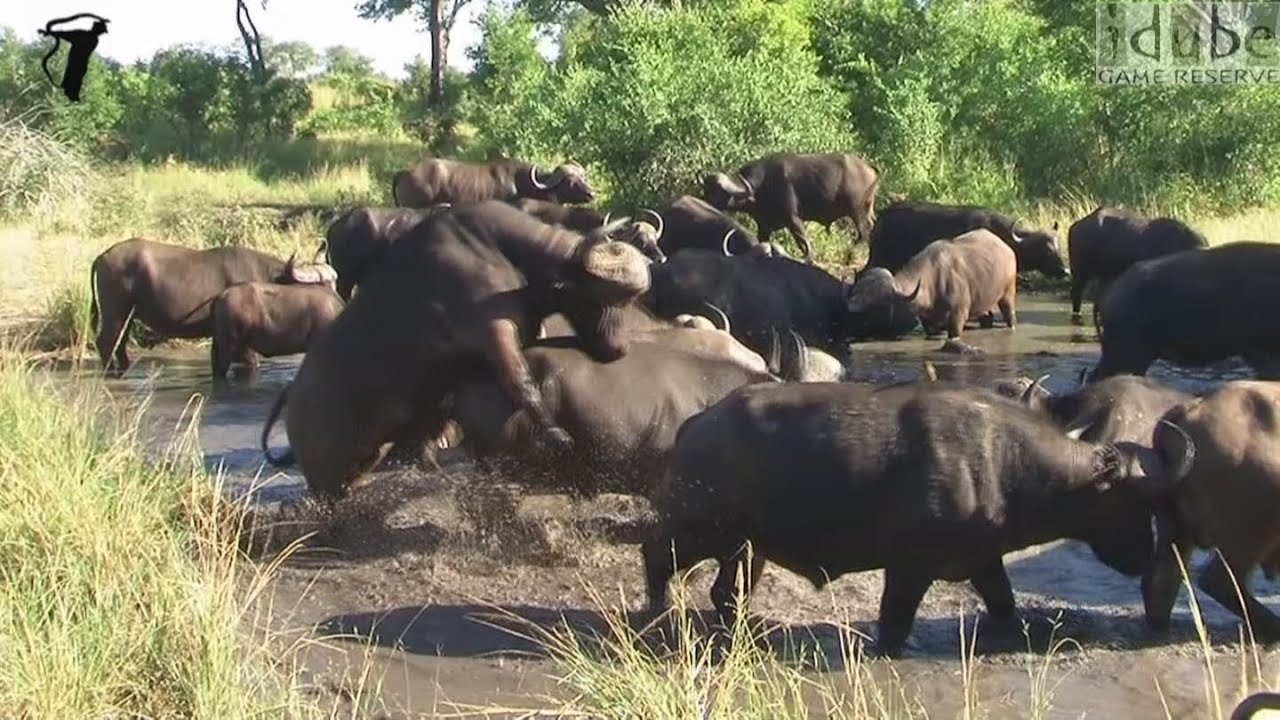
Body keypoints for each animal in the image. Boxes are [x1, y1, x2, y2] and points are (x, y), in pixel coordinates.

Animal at [88, 239, 336, 376]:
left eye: (333, 282)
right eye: (320, 285)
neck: (266, 277)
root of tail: (101, 257)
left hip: (127, 317)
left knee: (119, 345)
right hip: (115, 313)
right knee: (106, 343)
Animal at [259, 200, 652, 503]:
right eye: (599, 299)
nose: (619, 347)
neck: (499, 250)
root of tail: (292, 394)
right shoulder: (492, 332)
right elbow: (521, 382)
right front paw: (556, 434)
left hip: (367, 455)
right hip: (323, 476)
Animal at [643, 380, 1188, 656]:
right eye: (1138, 502)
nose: (1145, 560)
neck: (1001, 462)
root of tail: (698, 423)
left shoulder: (984, 562)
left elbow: (1005, 605)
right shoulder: (908, 570)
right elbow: (893, 627)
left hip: (747, 547)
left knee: (726, 592)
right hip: (699, 528)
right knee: (655, 553)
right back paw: (656, 612)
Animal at [702, 152, 880, 263]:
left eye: (717, 193)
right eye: (706, 191)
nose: (703, 203)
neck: (762, 186)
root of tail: (869, 168)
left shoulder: (793, 218)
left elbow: (803, 241)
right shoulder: (764, 226)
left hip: (857, 211)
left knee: (864, 231)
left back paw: (850, 256)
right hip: (867, 209)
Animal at [846, 229, 1017, 352]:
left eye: (876, 301)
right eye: (858, 289)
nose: (852, 306)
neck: (932, 283)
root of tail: (1007, 249)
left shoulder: (958, 314)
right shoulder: (926, 320)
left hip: (1008, 293)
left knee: (1009, 316)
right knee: (987, 316)